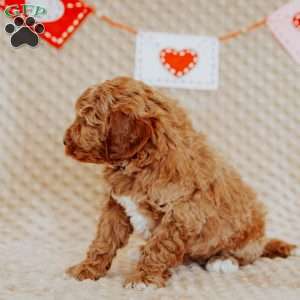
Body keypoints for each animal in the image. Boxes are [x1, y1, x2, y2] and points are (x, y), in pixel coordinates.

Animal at [63, 77, 298, 288]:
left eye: (85, 120)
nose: (64, 141)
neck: (141, 162)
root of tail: (263, 240)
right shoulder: (116, 206)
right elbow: (104, 240)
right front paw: (87, 269)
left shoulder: (182, 213)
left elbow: (159, 247)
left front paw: (144, 278)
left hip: (246, 237)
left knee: (246, 255)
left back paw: (223, 261)